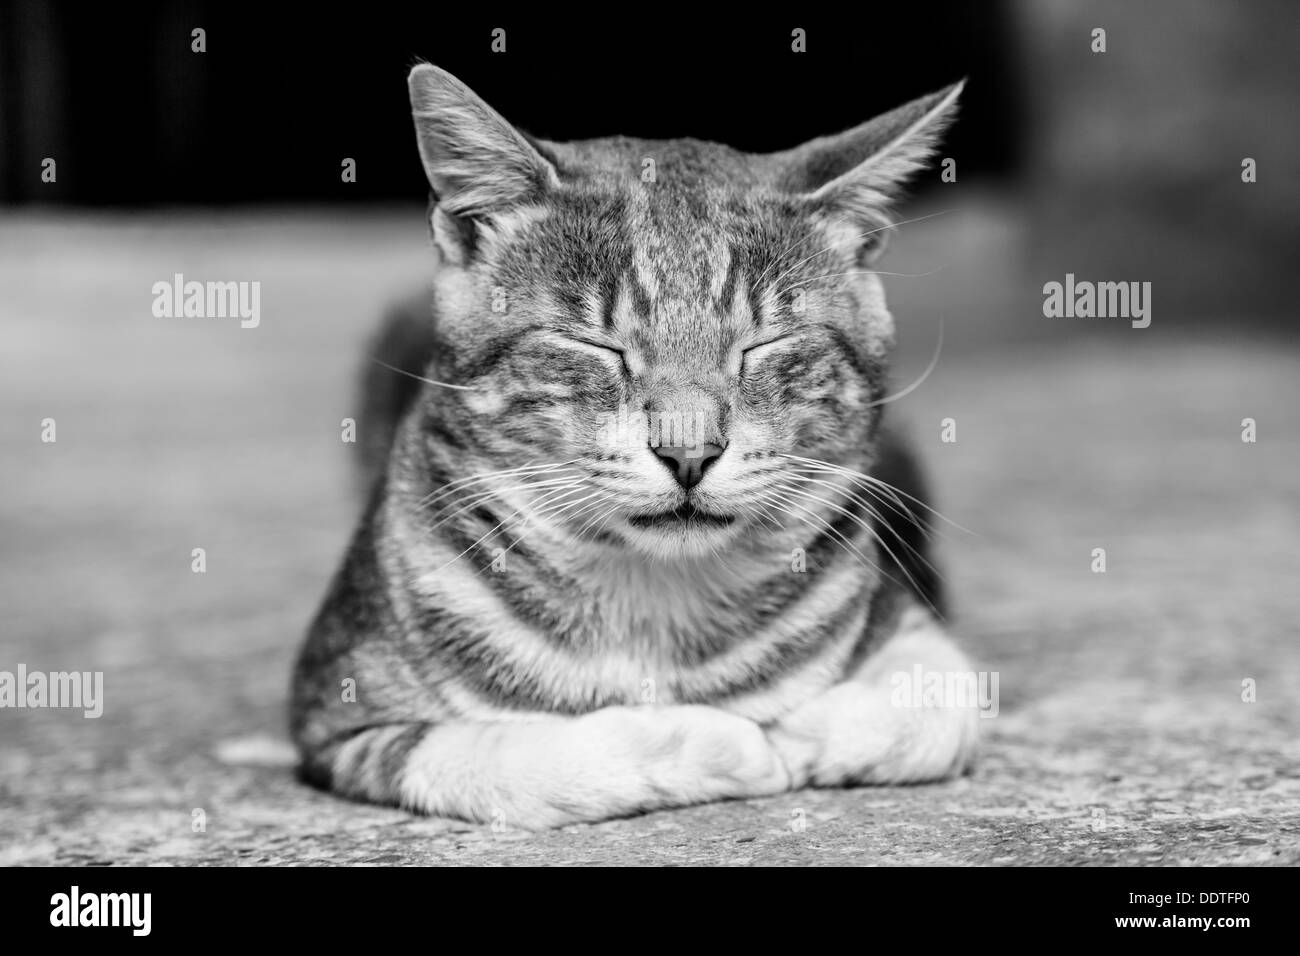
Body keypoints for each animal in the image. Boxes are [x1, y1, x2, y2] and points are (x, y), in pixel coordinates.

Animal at [292, 61, 977, 832]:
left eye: (763, 345)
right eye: (598, 344)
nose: (690, 451)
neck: (653, 595)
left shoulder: (908, 613)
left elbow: (943, 700)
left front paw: (797, 734)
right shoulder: (337, 710)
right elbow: (491, 756)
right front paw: (720, 743)